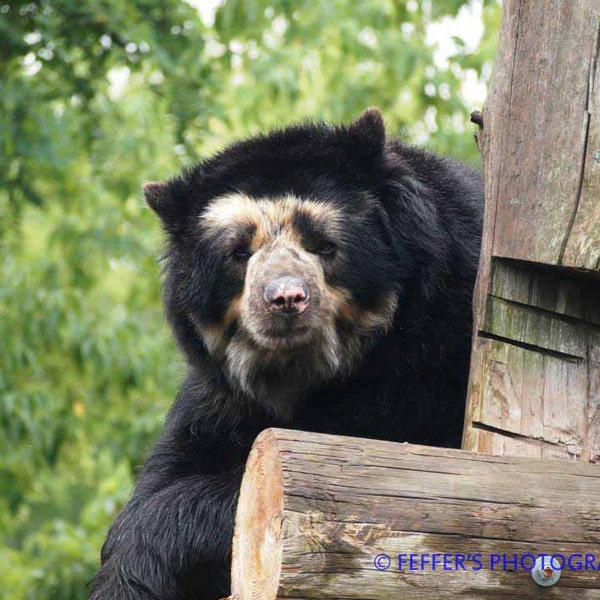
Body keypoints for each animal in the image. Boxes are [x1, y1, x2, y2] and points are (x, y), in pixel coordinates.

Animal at [88, 109, 482, 600]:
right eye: (239, 252)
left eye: (324, 244)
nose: (286, 299)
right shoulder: (217, 397)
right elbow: (165, 478)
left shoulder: (443, 347)